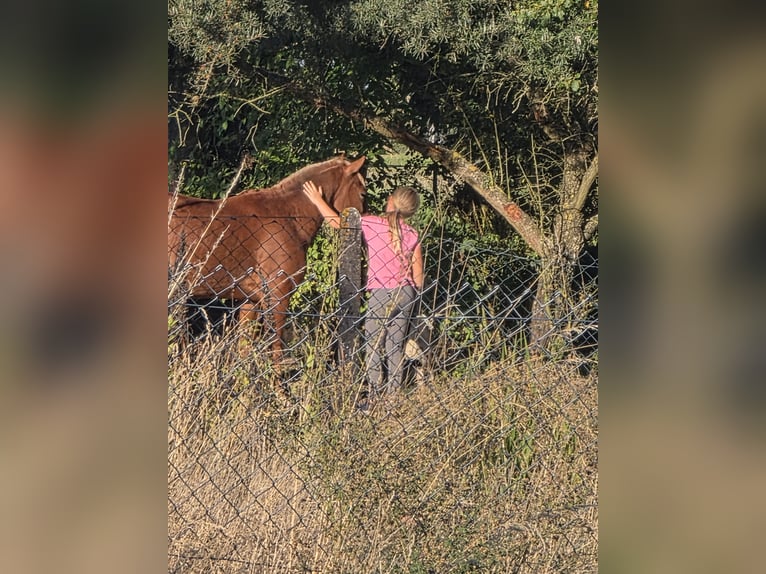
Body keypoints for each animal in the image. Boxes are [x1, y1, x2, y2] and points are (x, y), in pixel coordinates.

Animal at [168, 155, 366, 358]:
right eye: (363, 193)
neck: (289, 216)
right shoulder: (278, 295)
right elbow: (276, 348)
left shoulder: (250, 301)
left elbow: (245, 347)